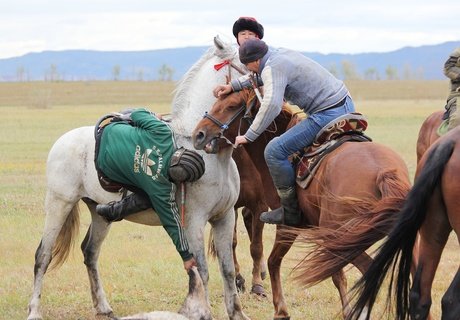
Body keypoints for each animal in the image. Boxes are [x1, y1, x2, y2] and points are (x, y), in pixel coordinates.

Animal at [27, 37, 250, 320]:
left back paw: (103, 307)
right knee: (43, 255)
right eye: (247, 58)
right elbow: (202, 271)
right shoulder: (194, 222)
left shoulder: (224, 217)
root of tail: (61, 141)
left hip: (99, 213)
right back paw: (34, 310)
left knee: (90, 252)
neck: (206, 151)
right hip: (59, 204)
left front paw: (238, 314)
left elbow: (227, 270)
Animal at [192, 88, 412, 320]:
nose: (199, 134)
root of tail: (384, 173)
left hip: (342, 236)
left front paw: (281, 310)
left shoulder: (287, 224)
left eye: (231, 106)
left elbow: (274, 261)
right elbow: (336, 274)